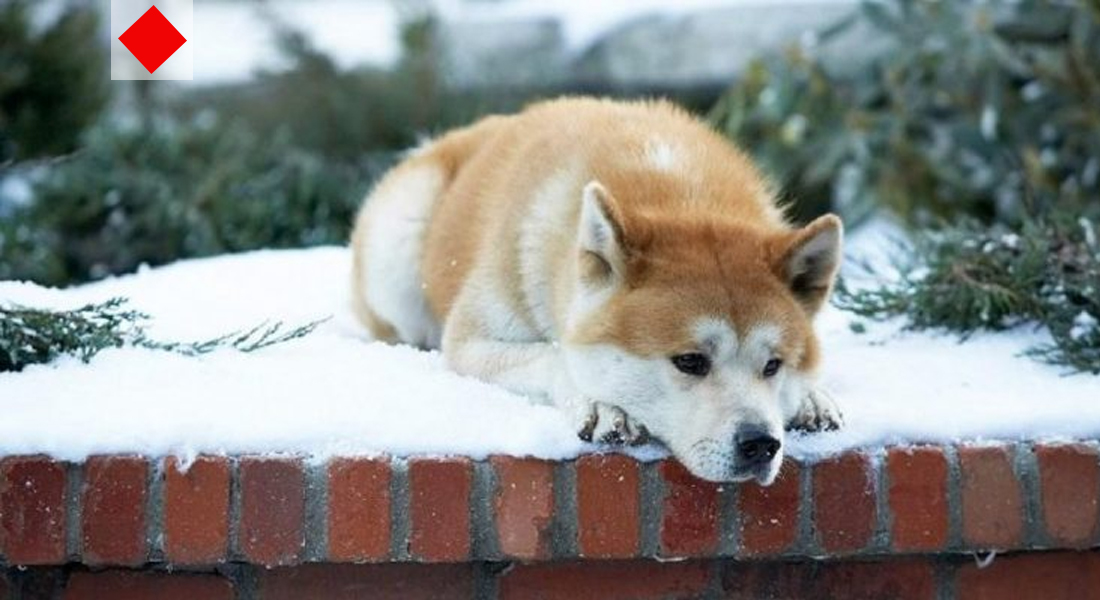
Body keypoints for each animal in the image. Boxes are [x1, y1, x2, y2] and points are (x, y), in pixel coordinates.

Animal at [352, 96, 840, 482]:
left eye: (773, 365)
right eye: (690, 361)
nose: (761, 444)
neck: (679, 194)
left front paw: (811, 397)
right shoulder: (469, 343)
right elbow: (553, 354)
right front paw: (602, 405)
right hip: (398, 245)